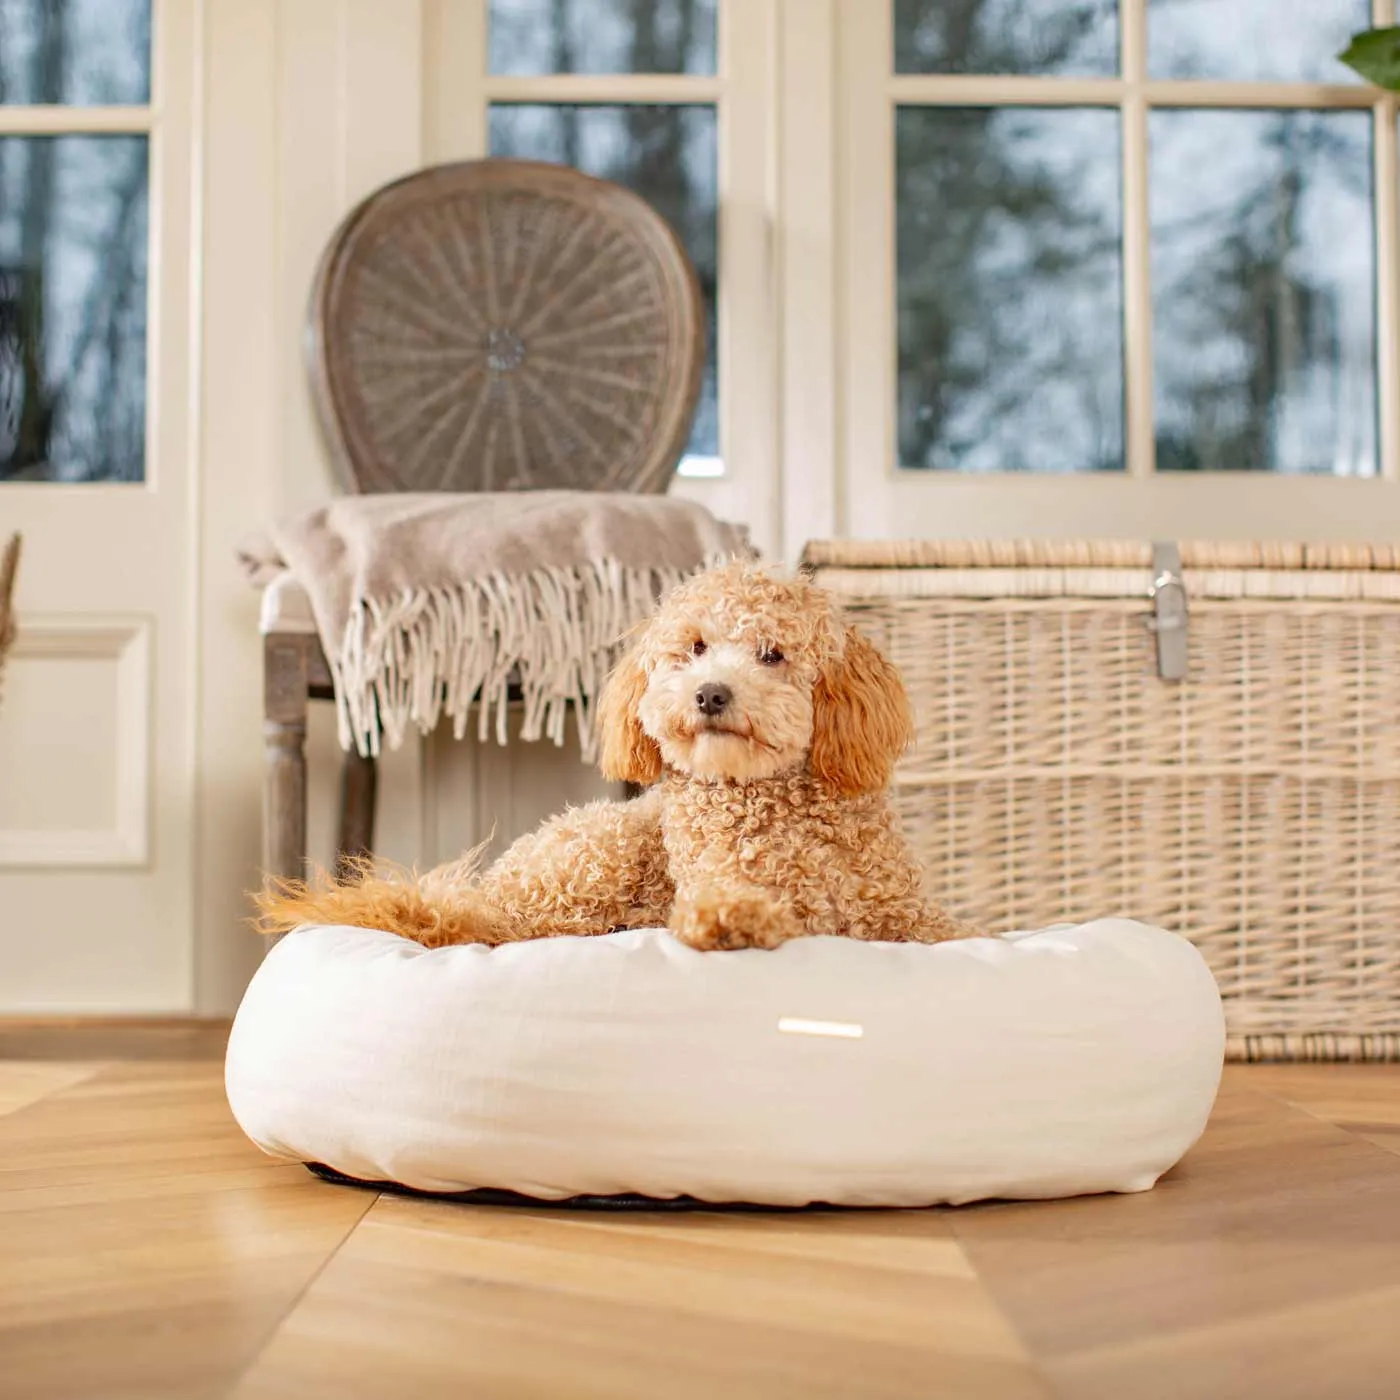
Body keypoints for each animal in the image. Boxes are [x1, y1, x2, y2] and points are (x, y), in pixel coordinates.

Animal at [252, 562, 968, 946]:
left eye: (773, 653)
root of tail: (480, 893)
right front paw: (730, 922)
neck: (775, 804)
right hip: (602, 850)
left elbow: (954, 935)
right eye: (695, 648)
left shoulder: (907, 917)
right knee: (527, 931)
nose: (710, 693)